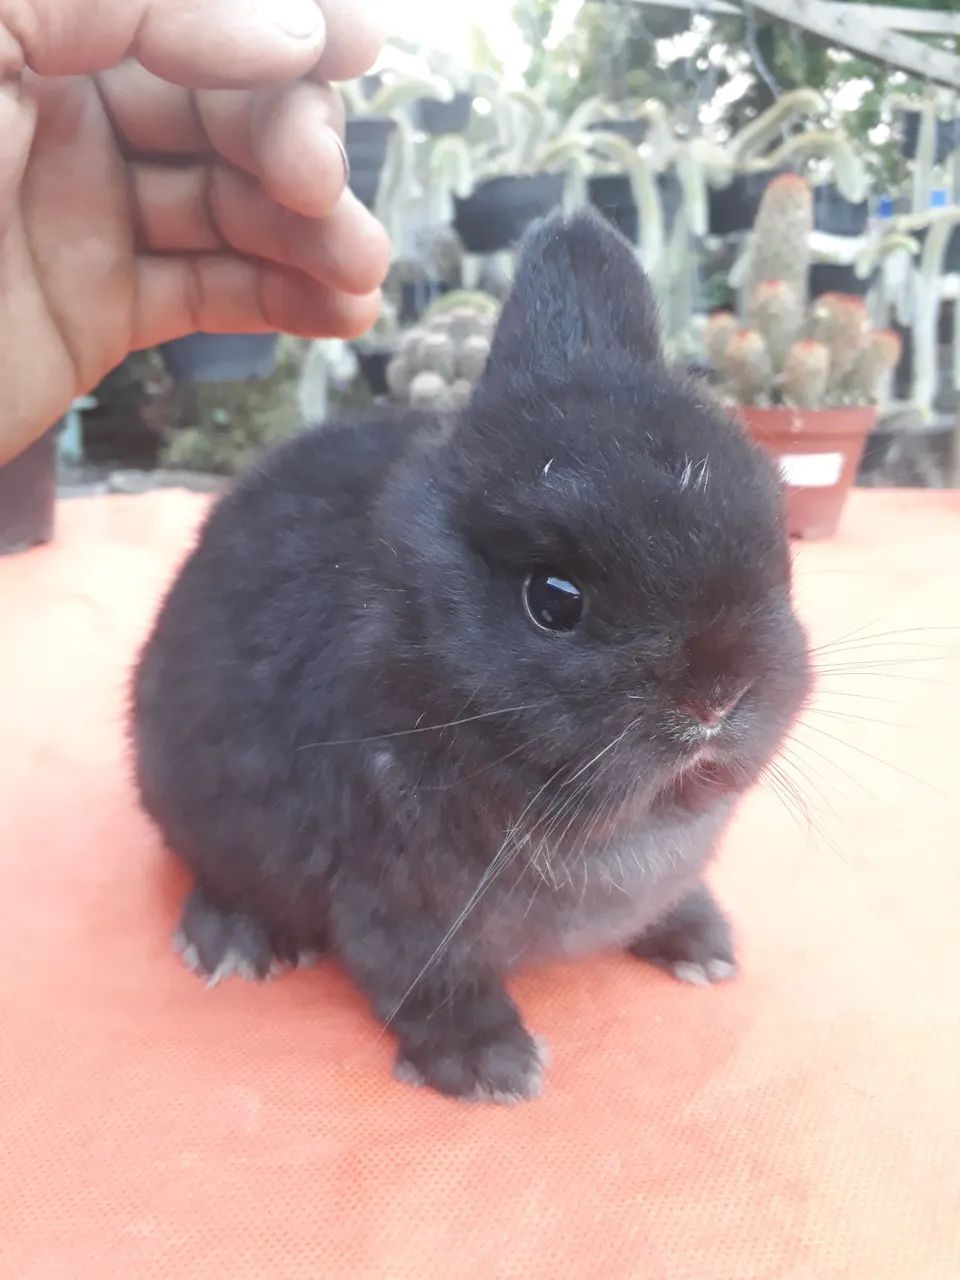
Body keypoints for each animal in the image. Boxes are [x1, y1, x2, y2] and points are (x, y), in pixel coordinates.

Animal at [131, 208, 811, 1104]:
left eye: (777, 538)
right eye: (553, 600)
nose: (718, 695)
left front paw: (702, 943)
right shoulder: (395, 899)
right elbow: (424, 977)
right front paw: (492, 1067)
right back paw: (232, 942)